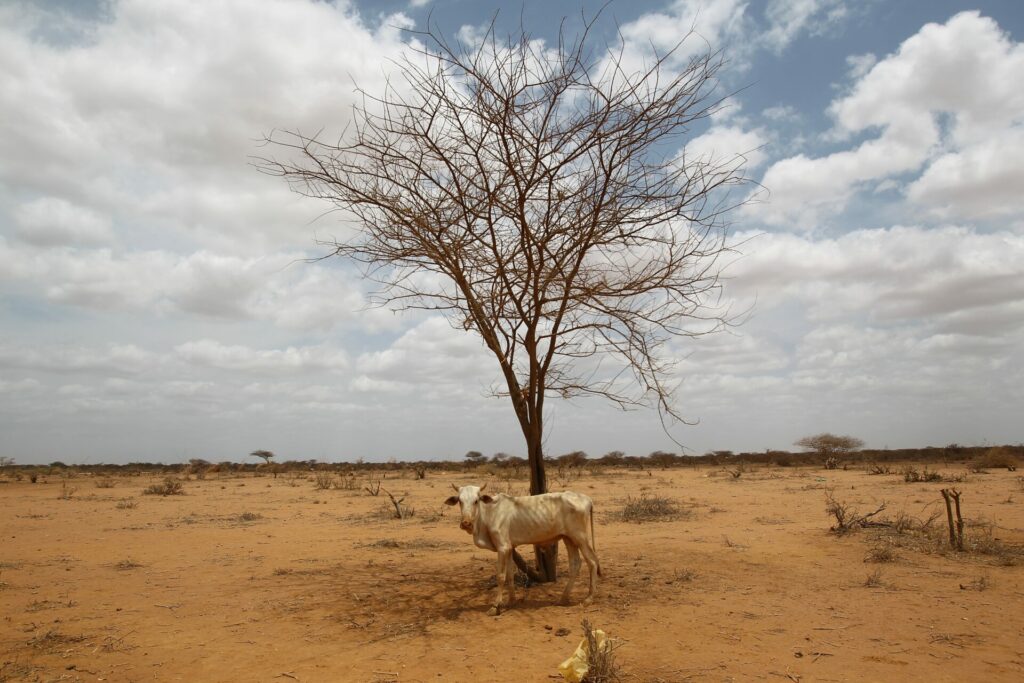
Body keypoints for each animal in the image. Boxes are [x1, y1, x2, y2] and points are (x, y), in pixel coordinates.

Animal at [446, 481, 598, 614]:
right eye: (460, 501)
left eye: (476, 501)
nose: (466, 523)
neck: (489, 513)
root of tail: (587, 499)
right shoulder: (509, 548)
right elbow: (509, 575)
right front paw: (511, 601)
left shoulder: (502, 547)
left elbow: (500, 576)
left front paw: (495, 606)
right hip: (569, 539)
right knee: (575, 564)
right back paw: (563, 599)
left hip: (581, 538)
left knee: (592, 562)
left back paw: (588, 599)